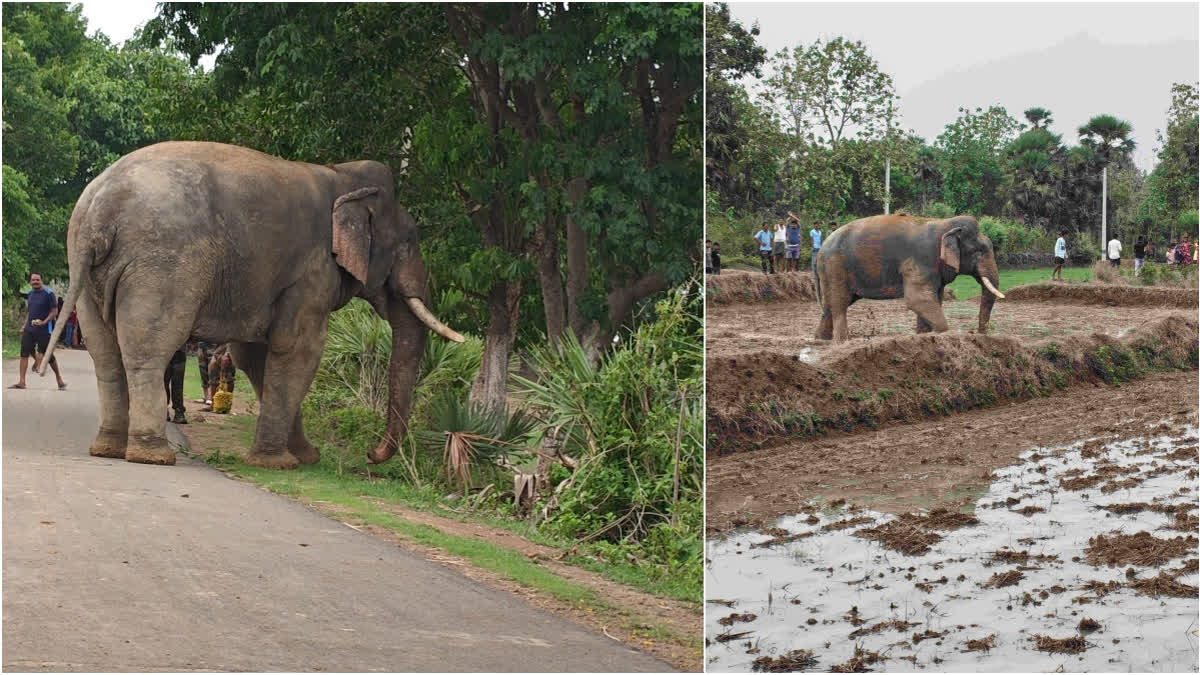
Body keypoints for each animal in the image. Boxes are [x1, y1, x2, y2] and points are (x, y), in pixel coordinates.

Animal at [40, 141, 464, 469]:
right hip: (161, 265)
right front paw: (280, 463)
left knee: (106, 355)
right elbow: (298, 350)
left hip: (87, 269)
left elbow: (256, 356)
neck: (340, 175)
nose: (371, 455)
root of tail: (99, 210)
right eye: (409, 242)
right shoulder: (313, 270)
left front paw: (304, 458)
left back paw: (108, 450)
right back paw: (153, 456)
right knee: (149, 350)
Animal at [813, 214, 1004, 342]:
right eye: (978, 252)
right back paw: (841, 341)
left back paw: (821, 340)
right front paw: (943, 333)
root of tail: (821, 248)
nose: (978, 334)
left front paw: (924, 336)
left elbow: (932, 299)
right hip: (835, 266)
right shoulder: (921, 259)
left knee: (829, 306)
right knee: (840, 303)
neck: (944, 224)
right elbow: (917, 299)